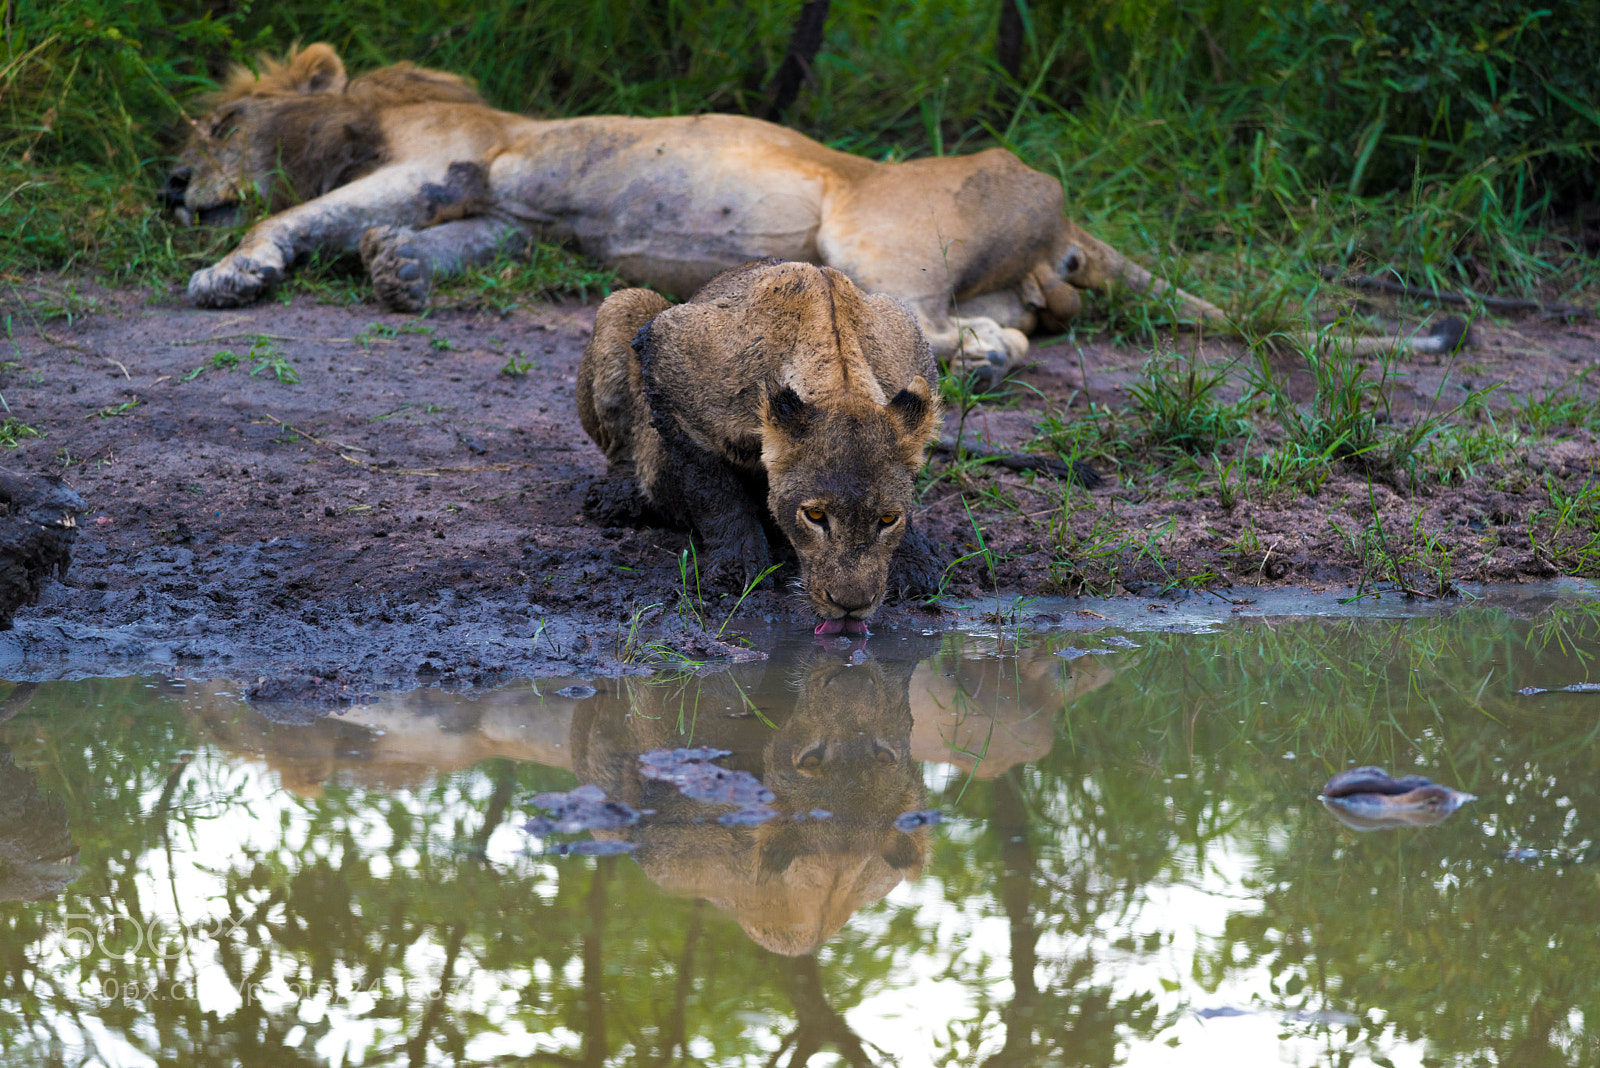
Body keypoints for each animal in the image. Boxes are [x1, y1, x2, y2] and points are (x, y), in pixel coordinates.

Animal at [166, 43, 1252, 381]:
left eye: (219, 122)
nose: (169, 186)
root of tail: (1062, 217)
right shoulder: (504, 209)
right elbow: (454, 242)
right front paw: (397, 268)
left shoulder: (450, 156)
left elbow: (297, 217)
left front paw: (232, 271)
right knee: (1008, 327)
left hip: (876, 238)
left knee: (941, 331)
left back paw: (974, 356)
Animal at [578, 259, 943, 627]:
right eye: (815, 515)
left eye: (887, 519)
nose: (851, 605)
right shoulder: (669, 359)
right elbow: (715, 493)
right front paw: (737, 568)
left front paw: (916, 563)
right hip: (621, 302)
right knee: (621, 449)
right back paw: (616, 497)